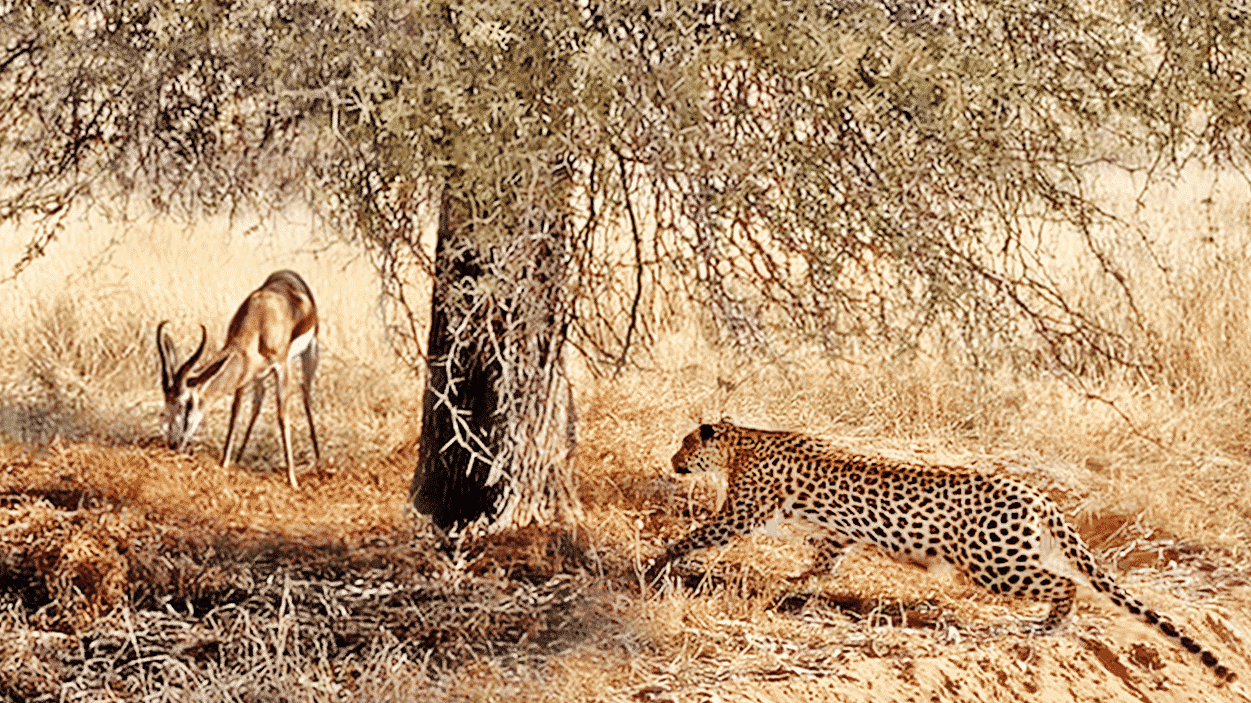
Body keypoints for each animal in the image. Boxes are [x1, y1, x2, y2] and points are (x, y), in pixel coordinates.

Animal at [156, 267, 320, 487]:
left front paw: (292, 479)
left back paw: (318, 458)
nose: (173, 443)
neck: (261, 320)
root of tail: (289, 273)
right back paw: (240, 456)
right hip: (258, 375)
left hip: (310, 354)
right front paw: (225, 462)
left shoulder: (281, 366)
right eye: (167, 403)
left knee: (306, 396)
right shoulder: (245, 370)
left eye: (188, 404)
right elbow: (235, 411)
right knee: (257, 404)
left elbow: (282, 417)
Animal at [650, 420, 1235, 680]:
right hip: (1011, 555)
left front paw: (660, 560)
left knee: (1066, 582)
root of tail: (1039, 495)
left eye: (683, 444)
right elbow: (824, 557)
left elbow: (696, 534)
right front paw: (799, 582)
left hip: (995, 563)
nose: (673, 460)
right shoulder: (835, 534)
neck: (741, 441)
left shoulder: (740, 514)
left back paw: (1050, 623)